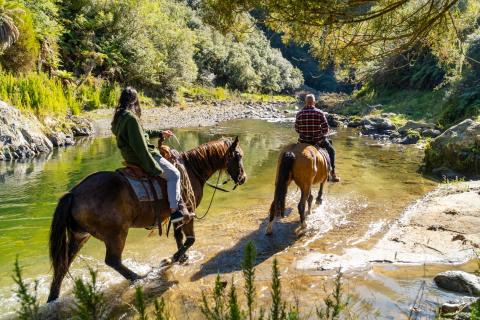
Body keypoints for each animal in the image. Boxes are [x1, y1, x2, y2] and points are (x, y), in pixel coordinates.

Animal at [47, 137, 246, 302]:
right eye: (238, 155)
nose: (243, 178)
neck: (192, 170)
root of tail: (73, 193)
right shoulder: (188, 213)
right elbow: (190, 239)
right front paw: (172, 259)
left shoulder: (176, 217)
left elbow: (179, 237)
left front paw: (182, 258)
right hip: (116, 235)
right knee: (113, 261)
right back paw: (140, 278)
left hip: (79, 236)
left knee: (63, 265)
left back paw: (53, 297)